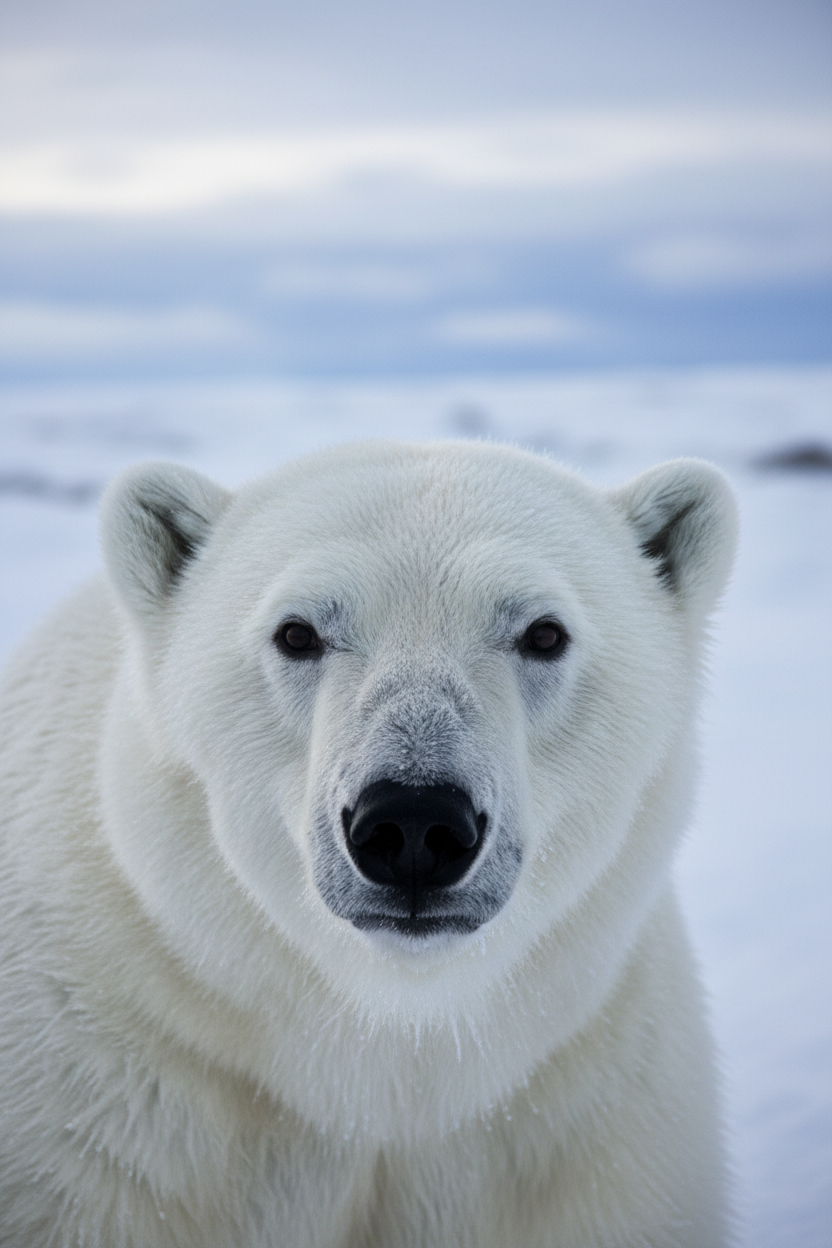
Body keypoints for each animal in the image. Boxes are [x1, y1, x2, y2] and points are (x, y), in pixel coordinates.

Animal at [0, 440, 737, 1247]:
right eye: (296, 632)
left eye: (544, 632)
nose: (413, 824)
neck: (380, 1061)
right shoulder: (107, 1111)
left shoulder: (590, 1128)